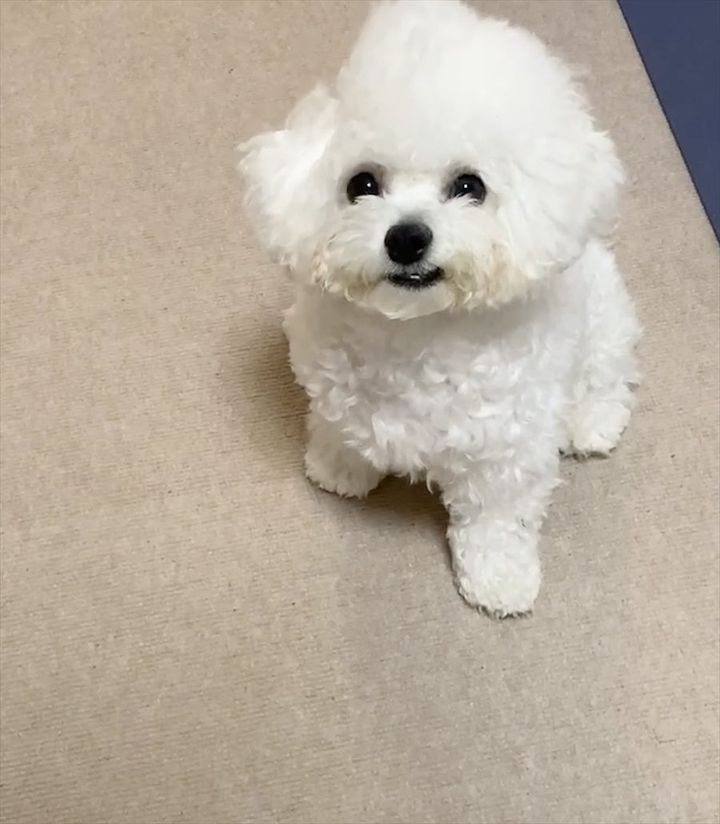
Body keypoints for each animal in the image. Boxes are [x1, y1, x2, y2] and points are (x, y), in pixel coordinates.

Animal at [238, 0, 640, 616]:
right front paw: (339, 468)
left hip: (603, 317)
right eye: (362, 184)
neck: (417, 334)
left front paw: (499, 578)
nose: (406, 238)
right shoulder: (338, 393)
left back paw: (590, 422)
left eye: (470, 185)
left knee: (607, 374)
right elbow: (343, 429)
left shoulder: (506, 450)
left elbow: (496, 518)